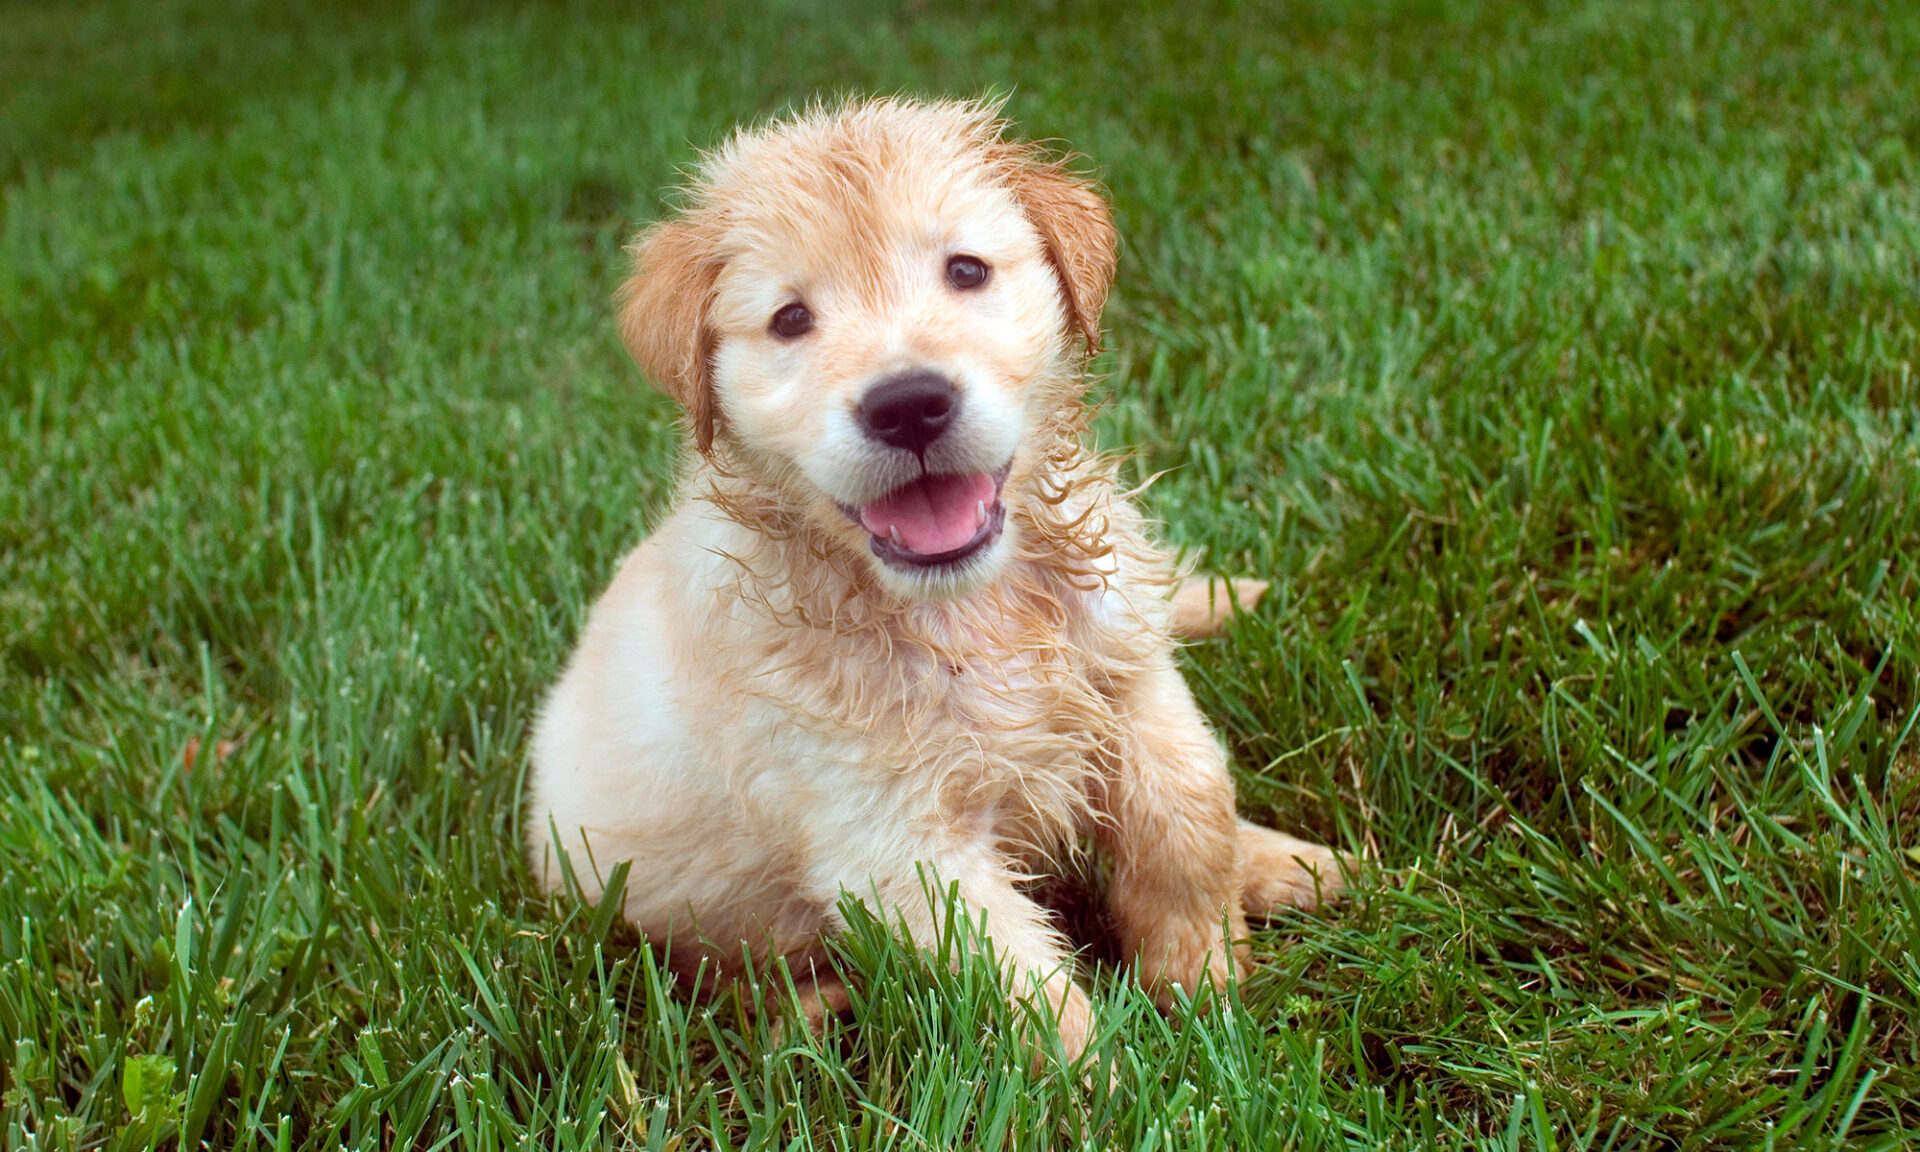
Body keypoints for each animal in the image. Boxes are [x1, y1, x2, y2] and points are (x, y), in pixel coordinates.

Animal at [522, 98, 1336, 1059]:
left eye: (966, 271)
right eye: (789, 320)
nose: (908, 404)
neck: (967, 608)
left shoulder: (1131, 676)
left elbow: (1187, 810)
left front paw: (1203, 976)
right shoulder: (890, 840)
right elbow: (1026, 987)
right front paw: (1121, 1077)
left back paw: (1293, 863)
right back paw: (811, 1008)